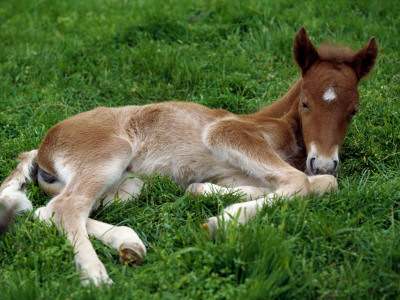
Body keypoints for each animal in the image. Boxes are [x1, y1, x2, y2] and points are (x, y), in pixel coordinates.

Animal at [0, 28, 378, 286]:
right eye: (305, 103)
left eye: (354, 111)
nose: (324, 161)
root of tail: (42, 147)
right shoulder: (228, 133)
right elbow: (302, 182)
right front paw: (222, 220)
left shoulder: (239, 172)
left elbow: (317, 184)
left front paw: (203, 193)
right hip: (109, 155)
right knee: (66, 207)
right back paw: (96, 276)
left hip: (129, 183)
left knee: (50, 210)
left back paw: (129, 244)